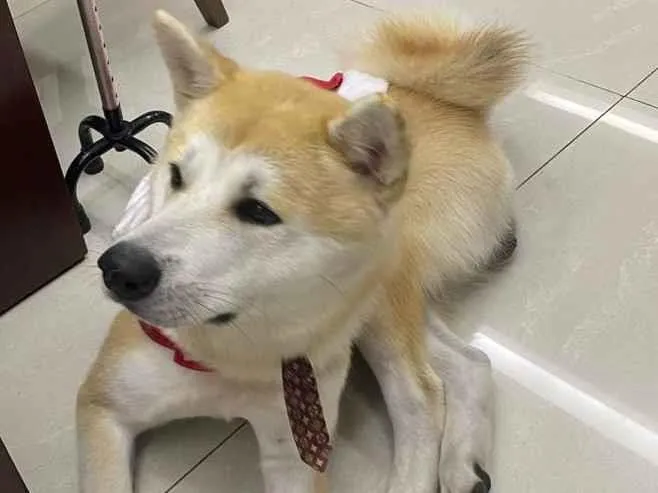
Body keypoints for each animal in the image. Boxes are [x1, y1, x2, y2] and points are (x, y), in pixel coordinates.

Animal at [77, 10, 527, 493]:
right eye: (176, 175)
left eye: (258, 211)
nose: (118, 268)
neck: (236, 354)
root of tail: (445, 104)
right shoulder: (103, 406)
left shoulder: (295, 453)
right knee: (469, 363)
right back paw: (464, 464)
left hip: (377, 295)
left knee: (420, 396)